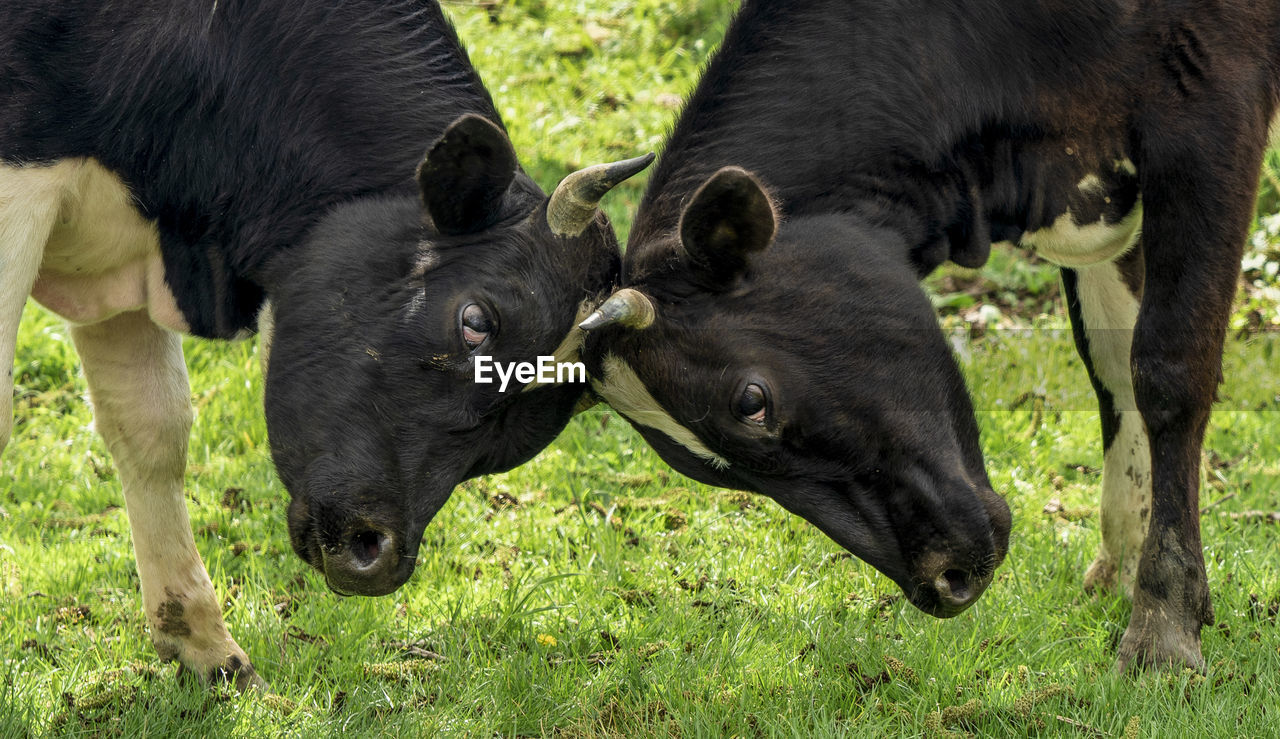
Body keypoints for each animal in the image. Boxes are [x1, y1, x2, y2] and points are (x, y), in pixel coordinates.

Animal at [2, 0, 650, 686]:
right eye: (475, 319)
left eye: (540, 419)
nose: (379, 553)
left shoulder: (124, 263)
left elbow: (153, 429)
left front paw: (206, 649)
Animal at [583, 0, 1280, 665]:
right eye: (712, 474)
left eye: (751, 401)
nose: (944, 583)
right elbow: (1112, 363)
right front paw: (1126, 569)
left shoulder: (1211, 104)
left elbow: (1167, 369)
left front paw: (1164, 623)